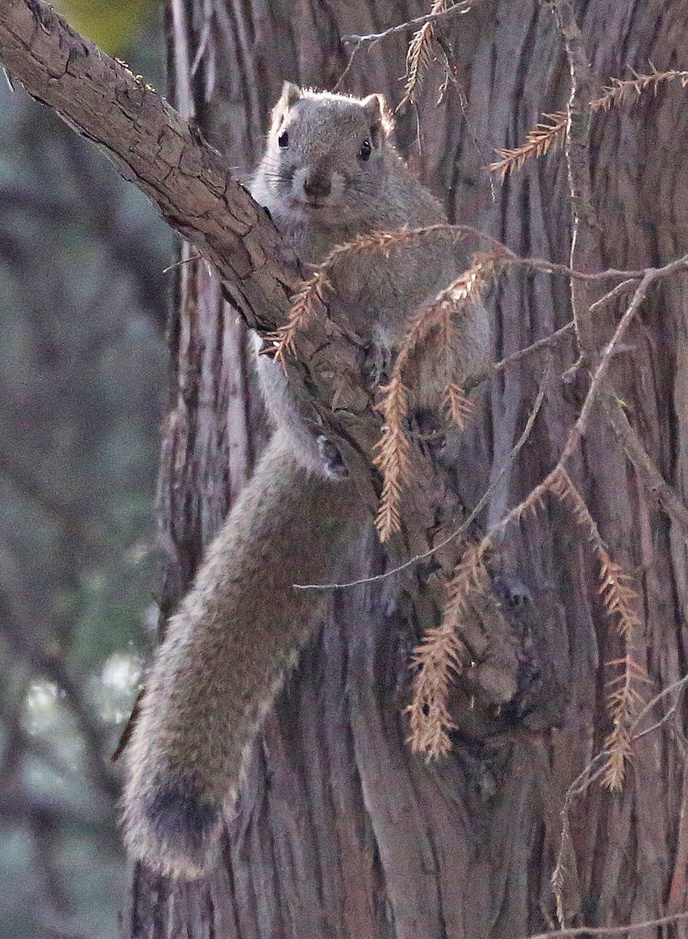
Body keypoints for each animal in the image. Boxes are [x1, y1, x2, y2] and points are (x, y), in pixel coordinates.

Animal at [121, 82, 492, 880]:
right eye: (283, 137)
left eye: (368, 148)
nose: (316, 183)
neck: (332, 233)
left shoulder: (412, 268)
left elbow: (397, 317)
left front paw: (380, 347)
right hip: (280, 387)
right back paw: (324, 444)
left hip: (462, 342)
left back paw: (428, 429)